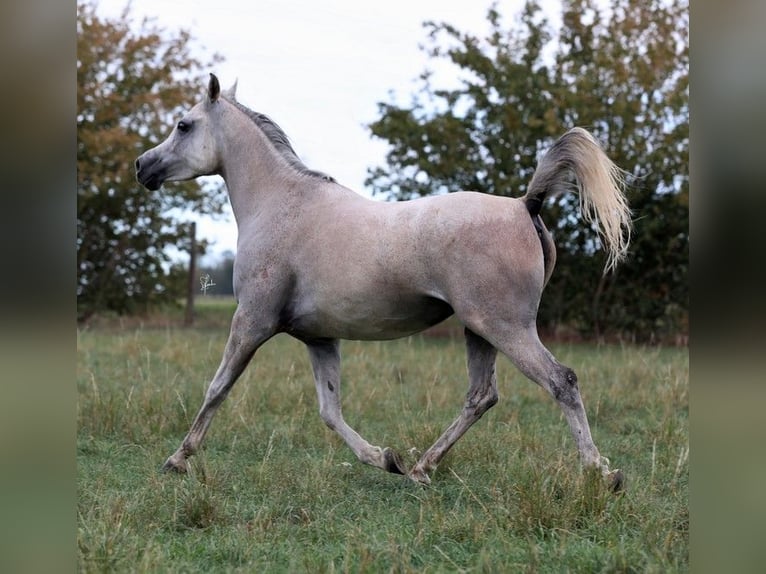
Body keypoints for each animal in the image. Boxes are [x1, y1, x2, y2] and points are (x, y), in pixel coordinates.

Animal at [136, 74, 632, 492]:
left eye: (183, 125)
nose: (143, 166)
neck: (283, 205)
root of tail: (524, 205)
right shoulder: (319, 338)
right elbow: (330, 411)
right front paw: (385, 458)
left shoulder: (251, 322)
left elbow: (217, 388)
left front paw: (178, 459)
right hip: (480, 331)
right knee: (481, 397)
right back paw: (421, 468)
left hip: (507, 328)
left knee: (561, 381)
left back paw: (600, 473)